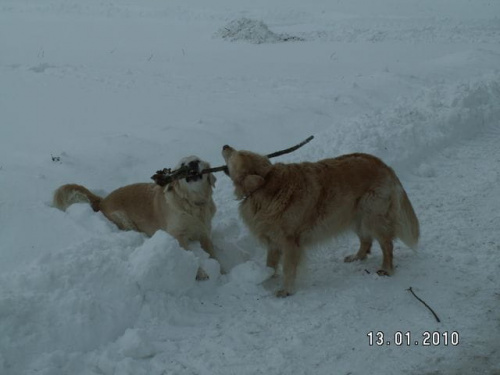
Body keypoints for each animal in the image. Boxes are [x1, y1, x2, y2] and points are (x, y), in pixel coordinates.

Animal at [221, 146, 420, 296]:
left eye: (235, 154)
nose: (225, 145)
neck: (266, 185)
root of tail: (383, 165)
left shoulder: (290, 242)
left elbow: (288, 269)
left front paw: (286, 290)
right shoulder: (274, 241)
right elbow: (270, 264)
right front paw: (266, 277)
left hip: (372, 215)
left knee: (387, 245)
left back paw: (386, 269)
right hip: (356, 216)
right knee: (366, 240)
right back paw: (357, 257)